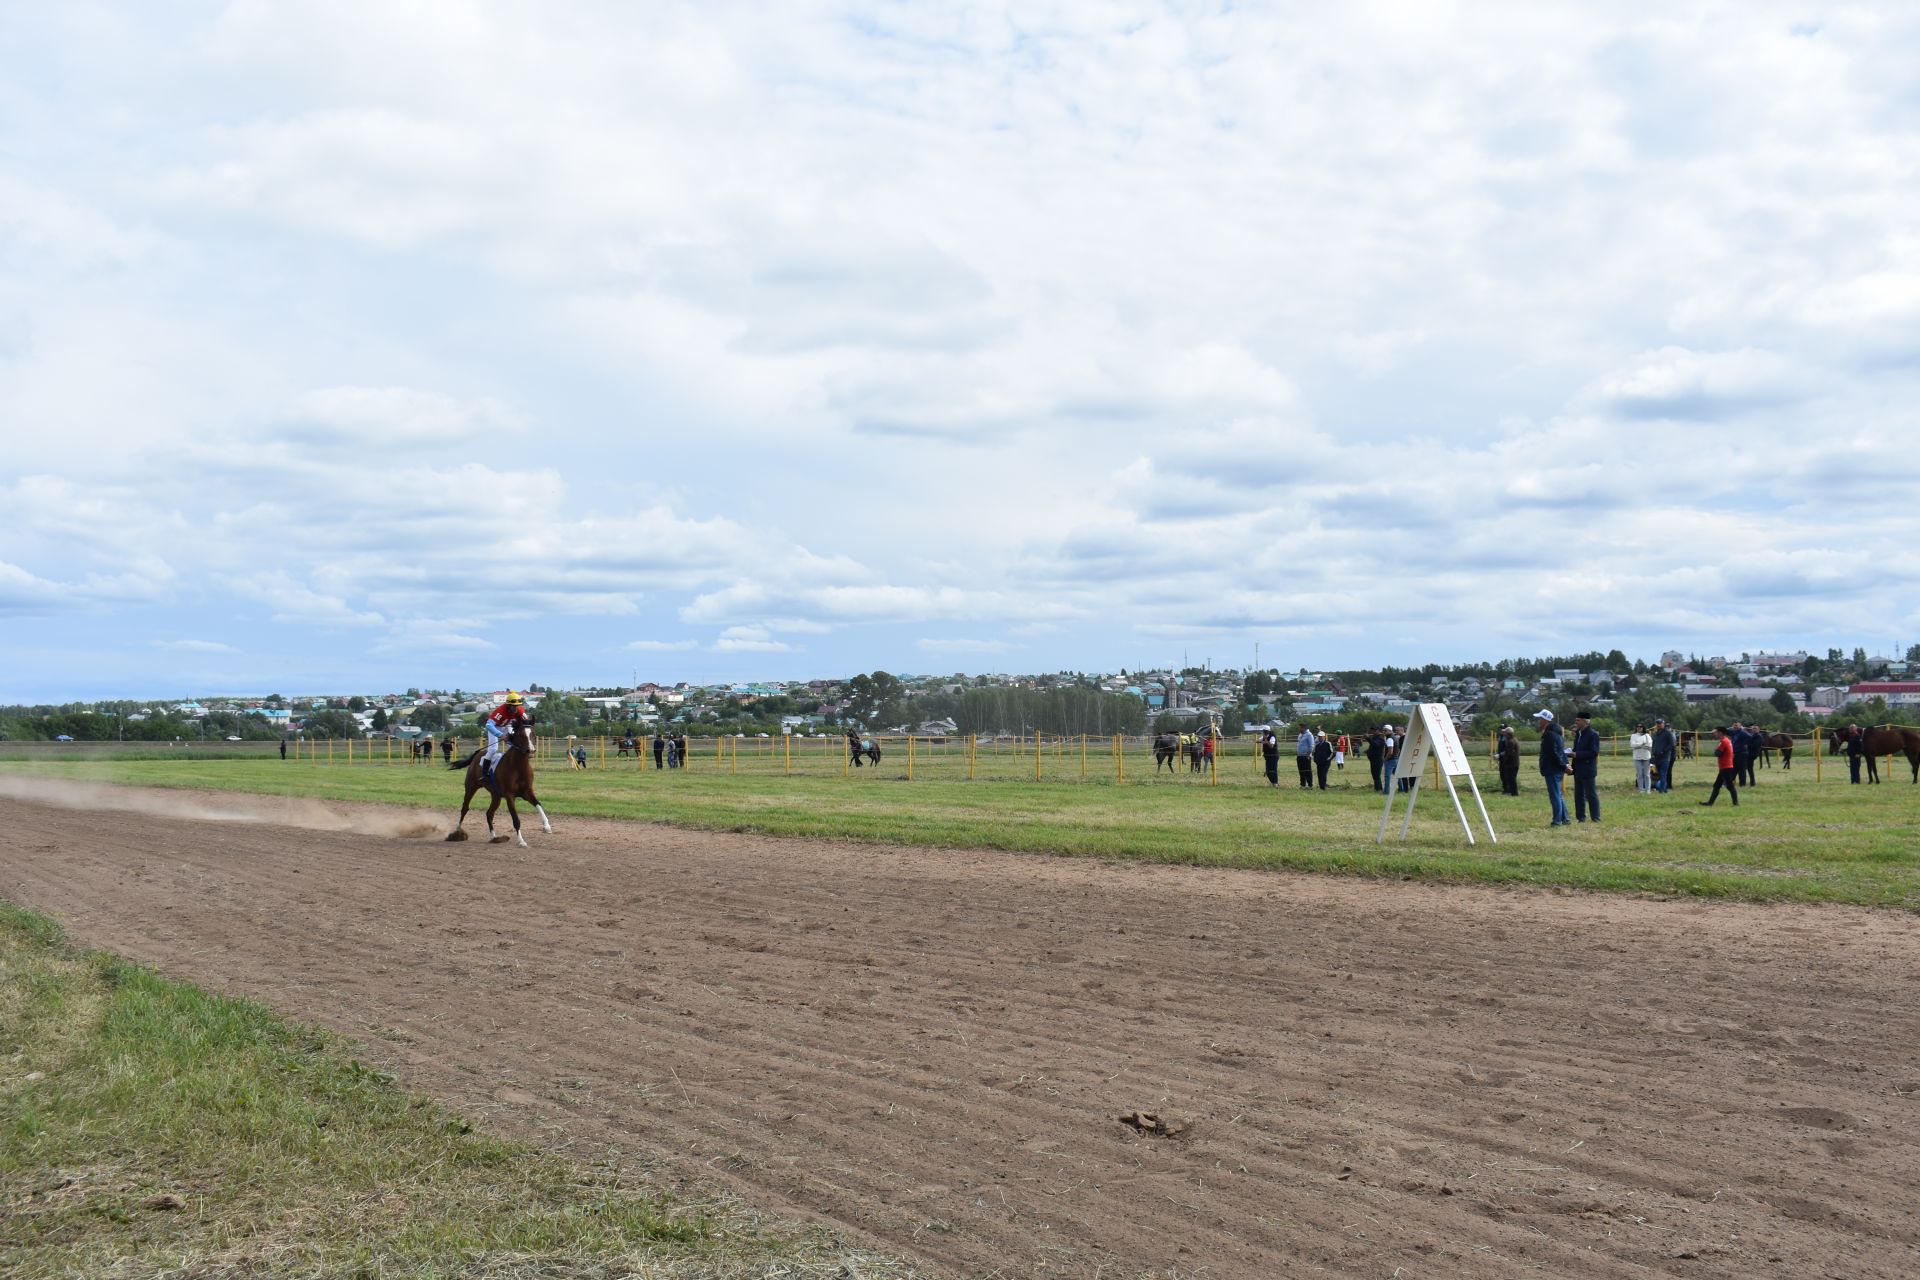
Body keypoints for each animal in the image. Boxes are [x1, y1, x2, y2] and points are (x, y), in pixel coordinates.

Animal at [441, 721, 549, 852]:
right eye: (521, 735)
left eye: (534, 734)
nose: (531, 750)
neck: (518, 767)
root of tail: (478, 754)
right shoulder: (509, 796)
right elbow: (516, 820)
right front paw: (521, 841)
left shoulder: (527, 792)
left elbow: (539, 805)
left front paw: (547, 826)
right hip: (471, 788)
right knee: (464, 809)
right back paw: (457, 833)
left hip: (496, 796)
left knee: (489, 813)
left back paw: (494, 837)